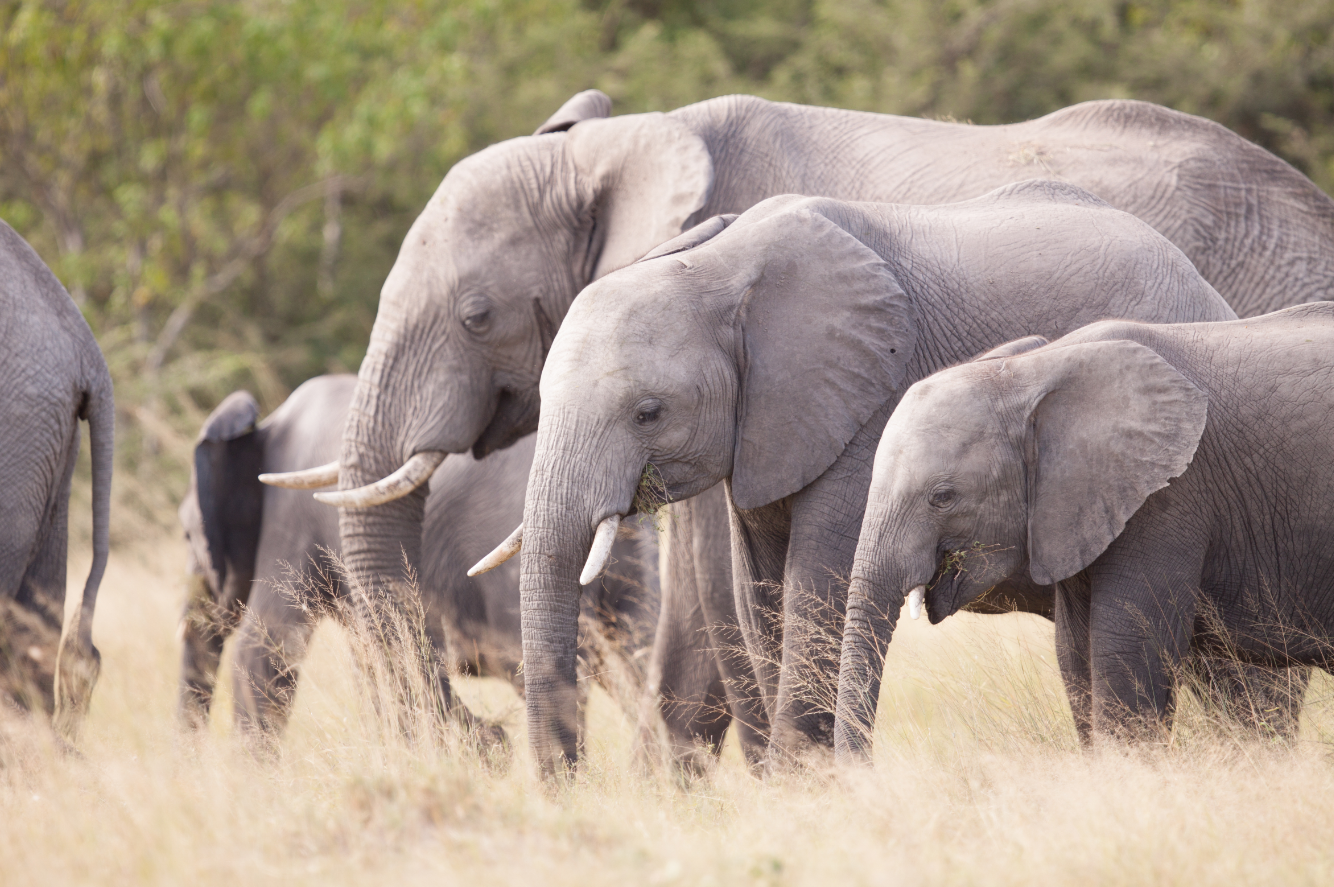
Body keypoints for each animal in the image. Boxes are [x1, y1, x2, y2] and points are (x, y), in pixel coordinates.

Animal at [178, 374, 661, 745]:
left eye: (185, 535)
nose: (493, 736)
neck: (265, 428)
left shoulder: (288, 523)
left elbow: (265, 649)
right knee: (637, 661)